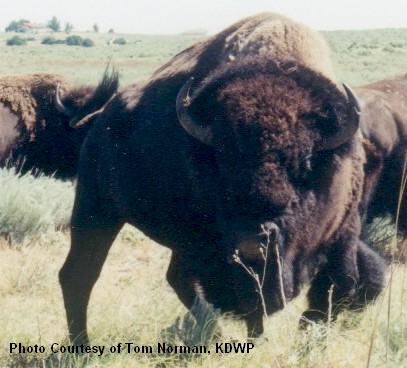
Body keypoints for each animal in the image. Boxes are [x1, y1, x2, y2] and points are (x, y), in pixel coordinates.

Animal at [59, 12, 386, 344]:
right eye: (222, 163)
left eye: (304, 163)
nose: (254, 243)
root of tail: (100, 116)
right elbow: (245, 300)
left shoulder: (343, 232)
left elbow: (339, 284)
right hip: (96, 208)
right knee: (79, 275)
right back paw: (82, 345)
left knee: (172, 278)